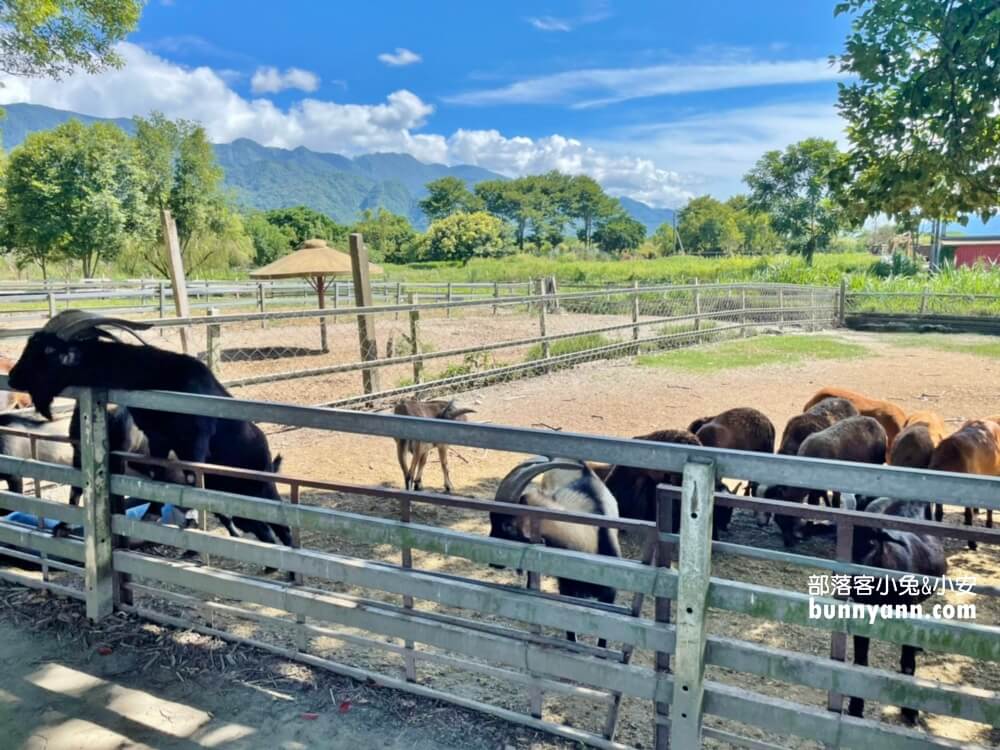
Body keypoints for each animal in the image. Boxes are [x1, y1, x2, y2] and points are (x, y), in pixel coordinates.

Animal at [10, 312, 292, 552]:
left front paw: (186, 515)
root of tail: (267, 451)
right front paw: (152, 513)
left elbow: (191, 477)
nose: (13, 376)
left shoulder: (195, 441)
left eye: (48, 350)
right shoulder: (157, 438)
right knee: (259, 526)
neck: (159, 376)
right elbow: (157, 475)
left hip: (261, 488)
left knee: (282, 527)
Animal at [764, 418, 884, 548]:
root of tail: (876, 422)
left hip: (877, 463)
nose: (788, 543)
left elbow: (820, 503)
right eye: (777, 520)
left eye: (790, 517)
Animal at [844, 496, 944, 724]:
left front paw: (910, 710)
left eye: (872, 543)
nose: (853, 581)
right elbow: (861, 661)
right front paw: (856, 707)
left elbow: (907, 663)